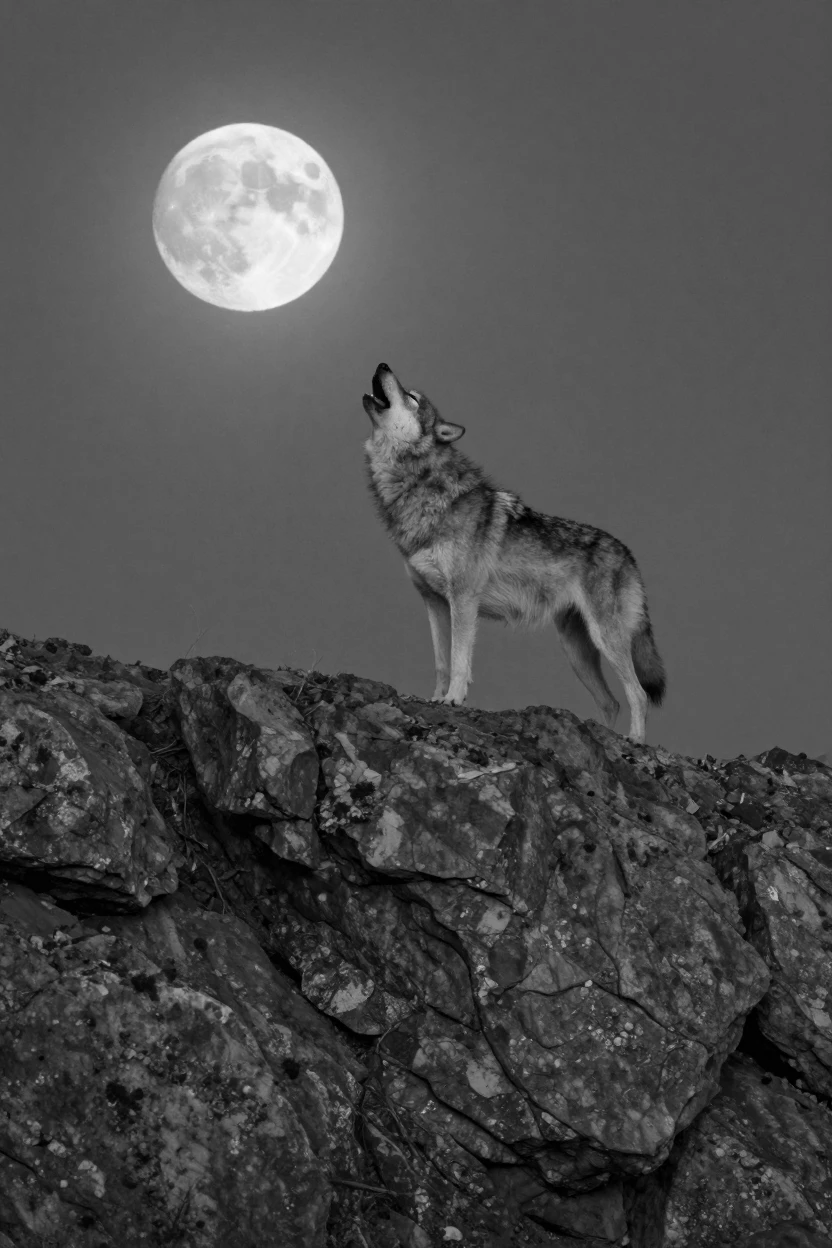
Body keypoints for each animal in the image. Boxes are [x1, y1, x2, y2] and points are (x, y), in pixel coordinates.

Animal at [362, 363, 666, 743]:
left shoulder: (463, 600)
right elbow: (442, 662)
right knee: (611, 703)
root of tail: (628, 554)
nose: (382, 365)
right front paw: (434, 698)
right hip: (576, 651)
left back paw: (635, 741)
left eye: (413, 398)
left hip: (605, 639)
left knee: (638, 694)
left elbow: (459, 660)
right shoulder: (434, 603)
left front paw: (453, 700)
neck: (421, 488)